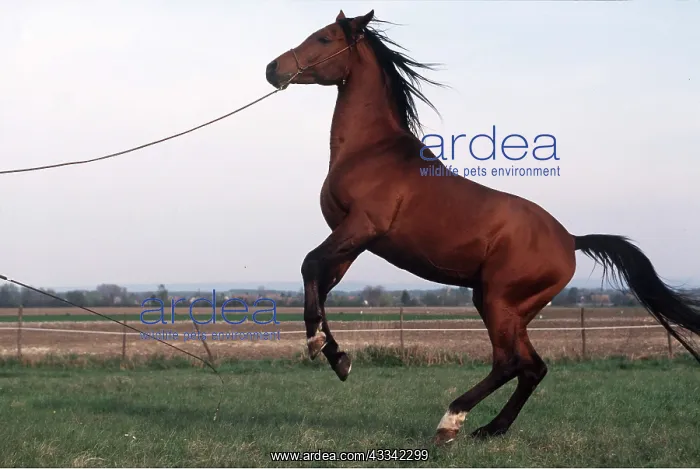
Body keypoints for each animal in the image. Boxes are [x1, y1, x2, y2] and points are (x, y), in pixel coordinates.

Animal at [264, 10, 700, 445]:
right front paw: (336, 356)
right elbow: (321, 284)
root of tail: (571, 240)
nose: (273, 69)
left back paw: (451, 420)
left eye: (324, 38)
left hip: (497, 301)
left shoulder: (361, 226)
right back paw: (491, 429)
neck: (371, 151)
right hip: (510, 308)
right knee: (532, 367)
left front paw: (318, 344)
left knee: (509, 362)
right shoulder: (352, 240)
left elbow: (309, 265)